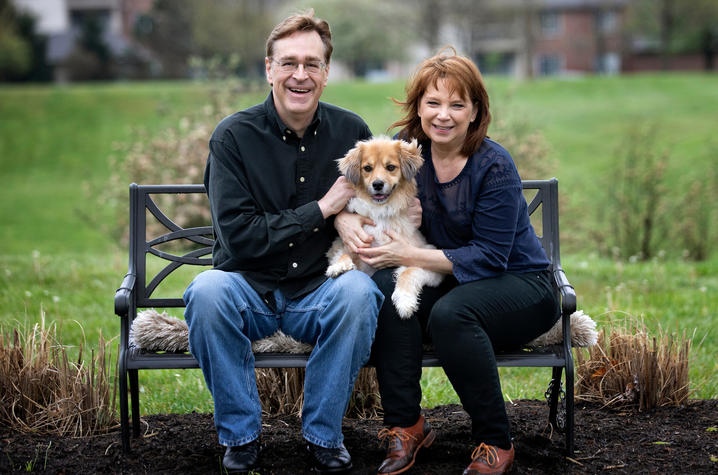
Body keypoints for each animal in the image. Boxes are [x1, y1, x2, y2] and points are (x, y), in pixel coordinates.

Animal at [328, 136, 444, 318]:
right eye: (367, 168)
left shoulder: (427, 258)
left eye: (390, 167)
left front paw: (404, 301)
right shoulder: (351, 248)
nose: (377, 184)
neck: (380, 212)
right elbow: (345, 253)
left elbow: (408, 272)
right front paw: (338, 266)